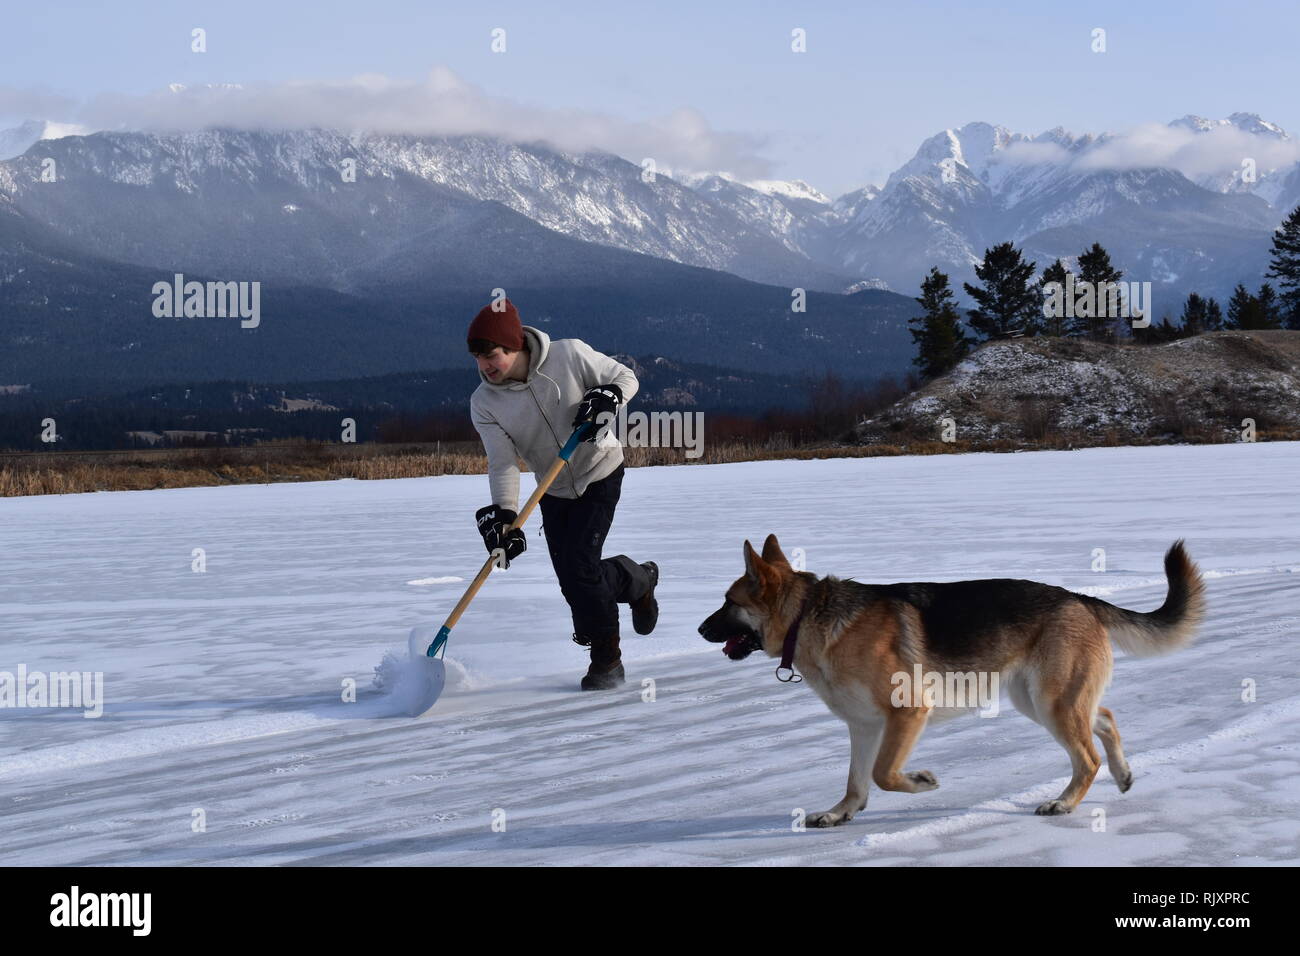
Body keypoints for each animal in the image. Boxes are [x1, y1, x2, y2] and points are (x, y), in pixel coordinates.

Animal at [702, 535, 1206, 827]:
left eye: (727, 601)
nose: (700, 630)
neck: (809, 615)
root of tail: (1081, 598)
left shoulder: (906, 713)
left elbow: (885, 775)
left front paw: (922, 781)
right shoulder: (863, 727)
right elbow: (856, 780)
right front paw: (841, 812)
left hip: (1051, 704)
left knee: (1088, 757)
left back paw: (1063, 804)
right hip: (1040, 701)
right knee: (1105, 717)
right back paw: (1123, 774)